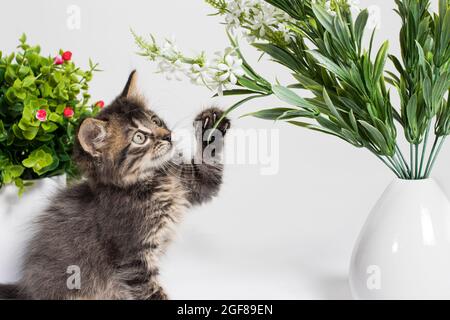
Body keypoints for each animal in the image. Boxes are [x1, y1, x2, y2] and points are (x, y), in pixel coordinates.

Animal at [0, 70, 230, 300]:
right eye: (140, 137)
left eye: (155, 120)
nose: (168, 136)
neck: (154, 180)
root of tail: (25, 289)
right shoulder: (132, 258)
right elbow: (151, 291)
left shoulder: (191, 183)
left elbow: (208, 172)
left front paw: (211, 125)